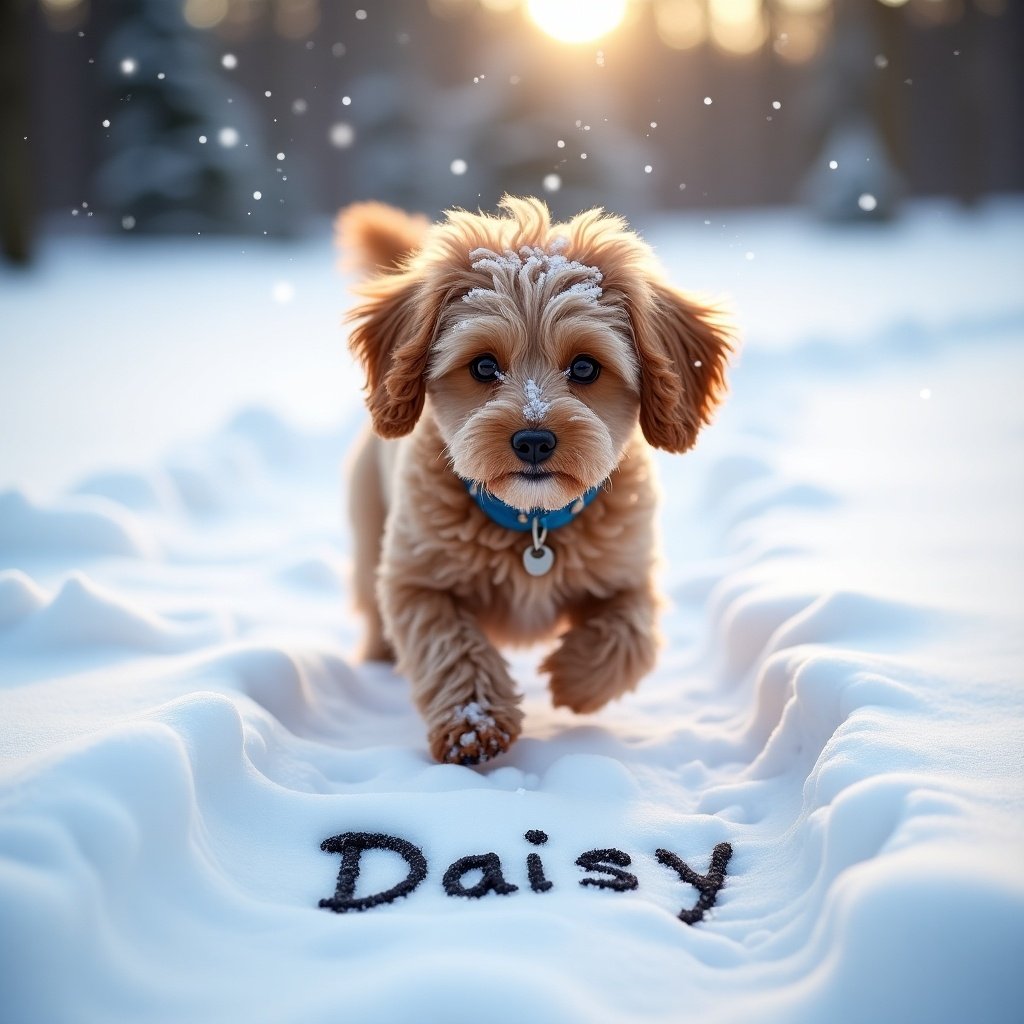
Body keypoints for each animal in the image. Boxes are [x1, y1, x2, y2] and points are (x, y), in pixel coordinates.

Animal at [339, 195, 733, 765]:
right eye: (484, 366)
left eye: (586, 368)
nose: (533, 441)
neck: (533, 522)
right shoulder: (416, 581)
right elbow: (452, 646)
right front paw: (473, 724)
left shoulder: (628, 571)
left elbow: (629, 635)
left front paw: (575, 680)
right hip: (370, 524)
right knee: (372, 609)